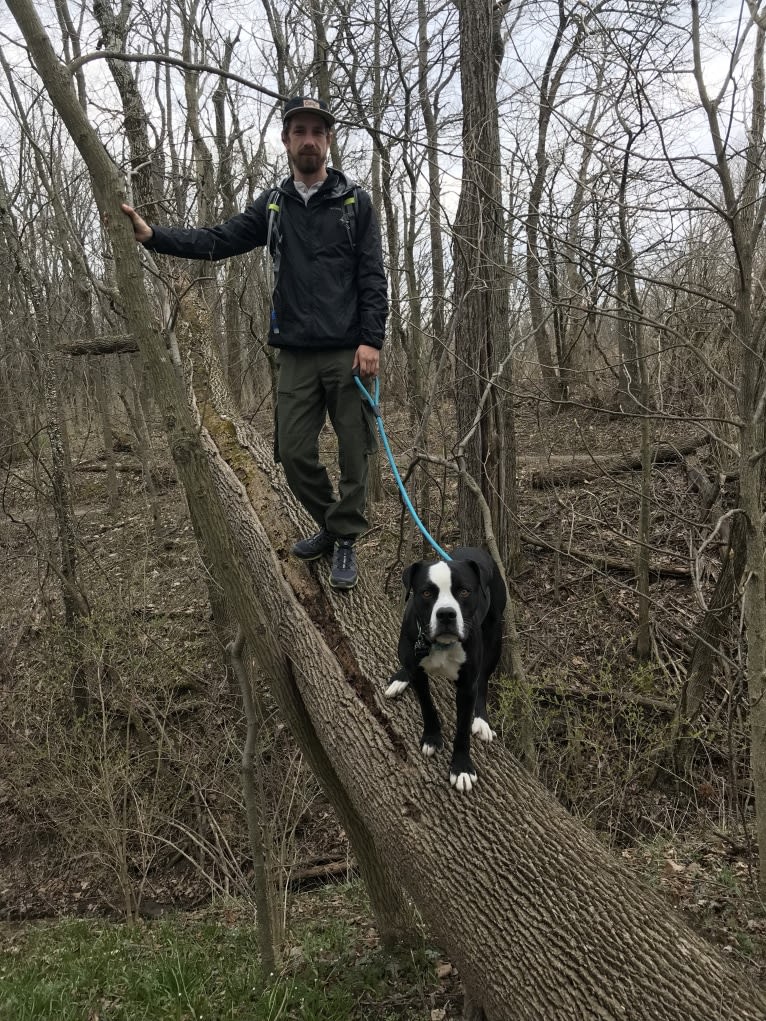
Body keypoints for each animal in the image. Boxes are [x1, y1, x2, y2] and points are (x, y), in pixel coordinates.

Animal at [386, 547, 506, 792]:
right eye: (426, 593)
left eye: (464, 591)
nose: (446, 614)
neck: (440, 644)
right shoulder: (419, 675)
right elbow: (427, 707)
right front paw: (432, 737)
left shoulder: (466, 687)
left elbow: (462, 729)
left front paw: (461, 768)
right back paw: (401, 677)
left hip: (495, 635)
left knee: (483, 680)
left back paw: (482, 720)